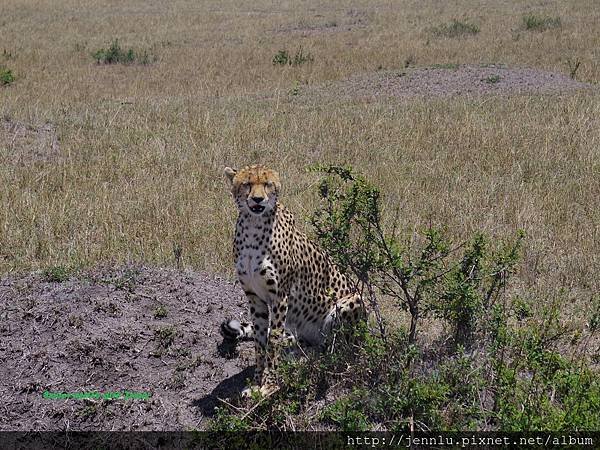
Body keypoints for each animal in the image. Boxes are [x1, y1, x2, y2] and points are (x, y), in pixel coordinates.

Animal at [219, 163, 364, 396]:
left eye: (267, 184)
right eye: (247, 184)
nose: (258, 199)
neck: (253, 225)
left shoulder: (280, 297)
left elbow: (273, 340)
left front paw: (268, 385)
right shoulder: (255, 298)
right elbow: (260, 342)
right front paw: (257, 382)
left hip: (353, 301)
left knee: (338, 352)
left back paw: (310, 359)